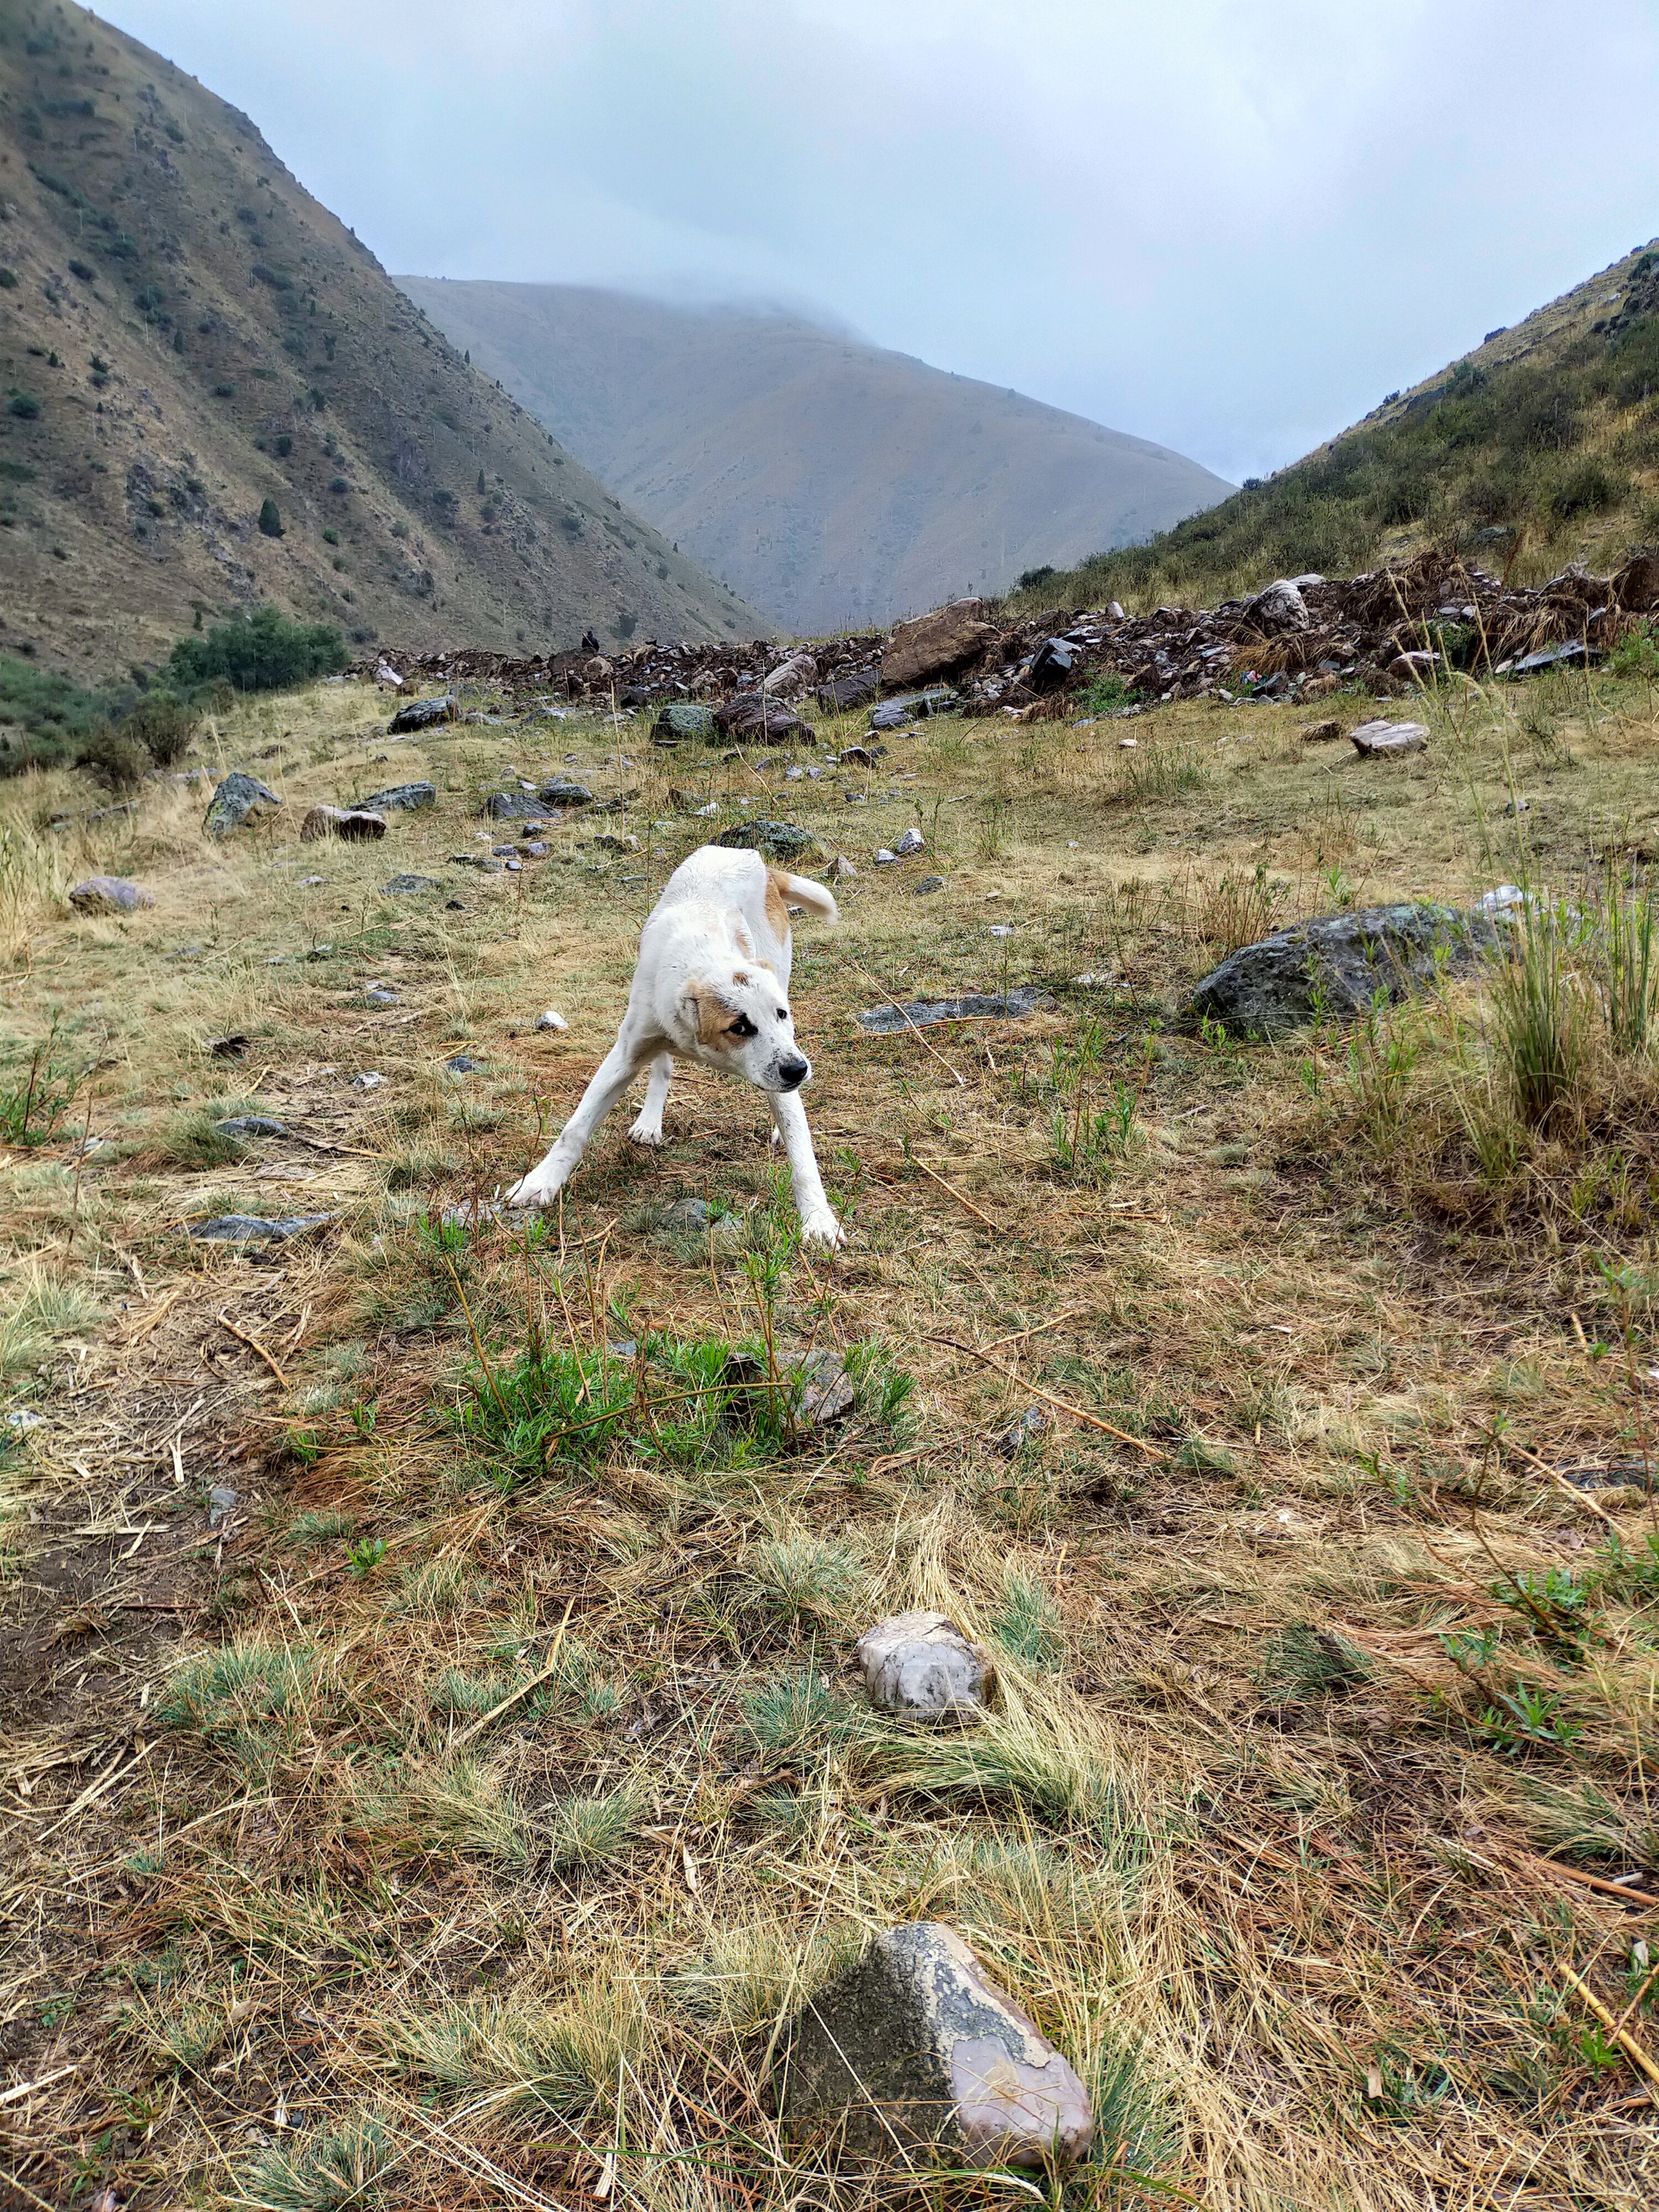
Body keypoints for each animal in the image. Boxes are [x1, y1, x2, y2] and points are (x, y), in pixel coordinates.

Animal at [504, 845, 845, 1247]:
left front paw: (818, 1219)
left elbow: (802, 1152)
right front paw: (539, 1182)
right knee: (662, 1066)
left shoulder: (782, 1059)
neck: (704, 959)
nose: (799, 1071)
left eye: (781, 1014)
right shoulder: (625, 1054)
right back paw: (650, 1121)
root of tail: (751, 856)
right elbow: (573, 1130)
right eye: (739, 1027)